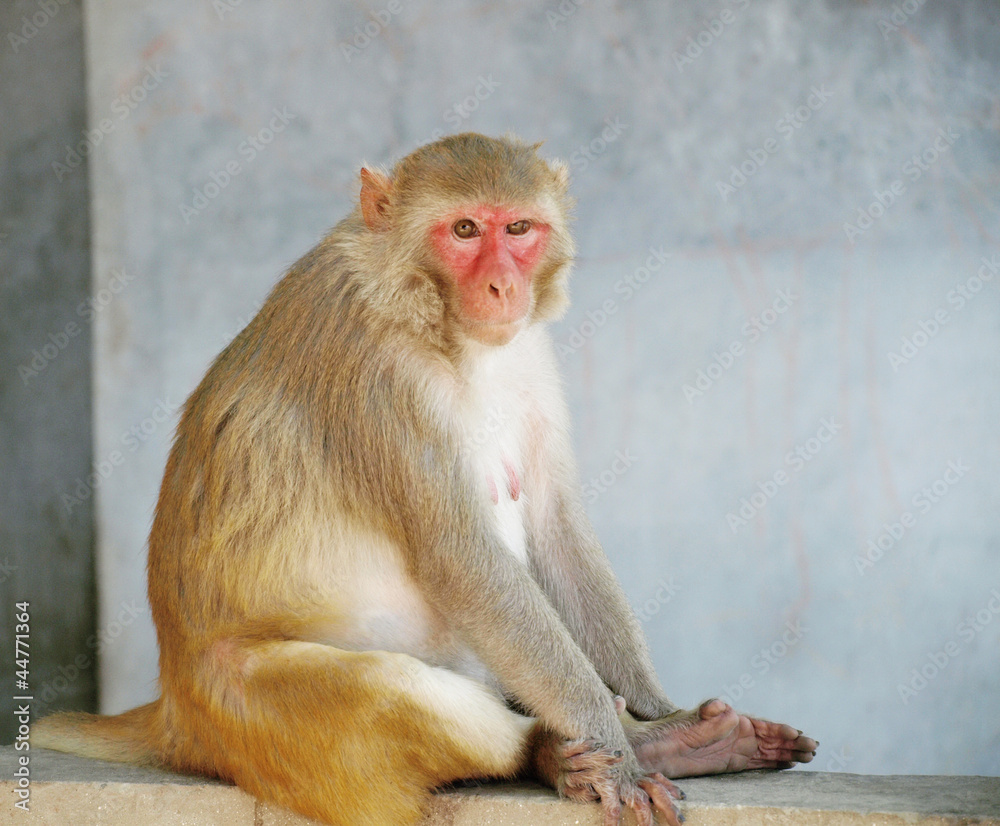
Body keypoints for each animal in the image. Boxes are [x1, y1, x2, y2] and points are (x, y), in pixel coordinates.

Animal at [33, 134, 820, 824]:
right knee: (393, 689)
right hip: (249, 717)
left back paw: (675, 739)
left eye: (519, 228)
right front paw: (617, 752)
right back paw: (554, 755)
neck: (429, 313)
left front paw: (657, 709)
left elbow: (556, 529)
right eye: (464, 230)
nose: (503, 285)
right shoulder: (378, 370)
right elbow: (460, 560)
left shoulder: (528, 353)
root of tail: (173, 711)